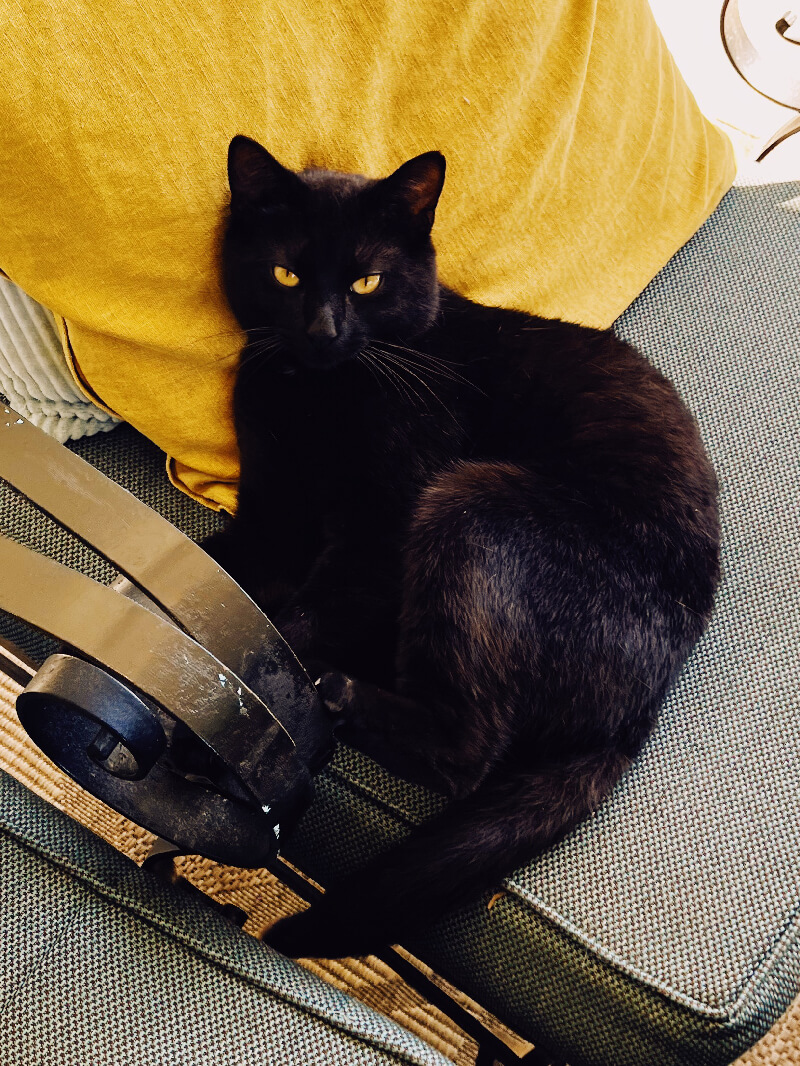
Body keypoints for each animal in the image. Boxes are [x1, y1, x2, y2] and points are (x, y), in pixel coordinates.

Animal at [206, 133, 721, 959]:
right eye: (286, 273)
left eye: (368, 280)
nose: (322, 331)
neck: (313, 393)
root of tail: (642, 707)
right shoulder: (272, 521)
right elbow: (211, 567)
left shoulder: (383, 524)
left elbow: (295, 620)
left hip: (470, 502)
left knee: (469, 753)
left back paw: (336, 692)